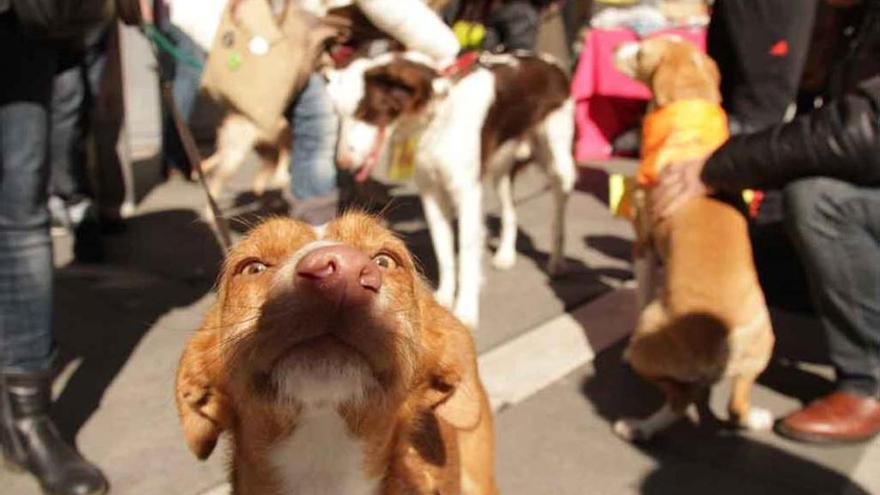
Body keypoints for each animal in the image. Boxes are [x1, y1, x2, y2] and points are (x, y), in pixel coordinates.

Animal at [324, 51, 576, 330]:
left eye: (367, 112)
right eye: (339, 116)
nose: (342, 163)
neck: (435, 119)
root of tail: (549, 61)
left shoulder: (467, 194)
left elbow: (465, 252)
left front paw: (465, 309)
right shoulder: (431, 194)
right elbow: (443, 249)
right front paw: (442, 300)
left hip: (558, 162)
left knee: (559, 211)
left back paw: (557, 261)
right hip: (501, 166)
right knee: (510, 211)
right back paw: (506, 254)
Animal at [608, 37, 772, 442]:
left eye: (640, 52)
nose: (616, 44)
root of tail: (722, 339)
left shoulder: (643, 247)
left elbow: (640, 292)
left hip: (650, 340)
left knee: (680, 402)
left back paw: (638, 427)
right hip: (759, 352)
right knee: (736, 406)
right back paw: (756, 418)